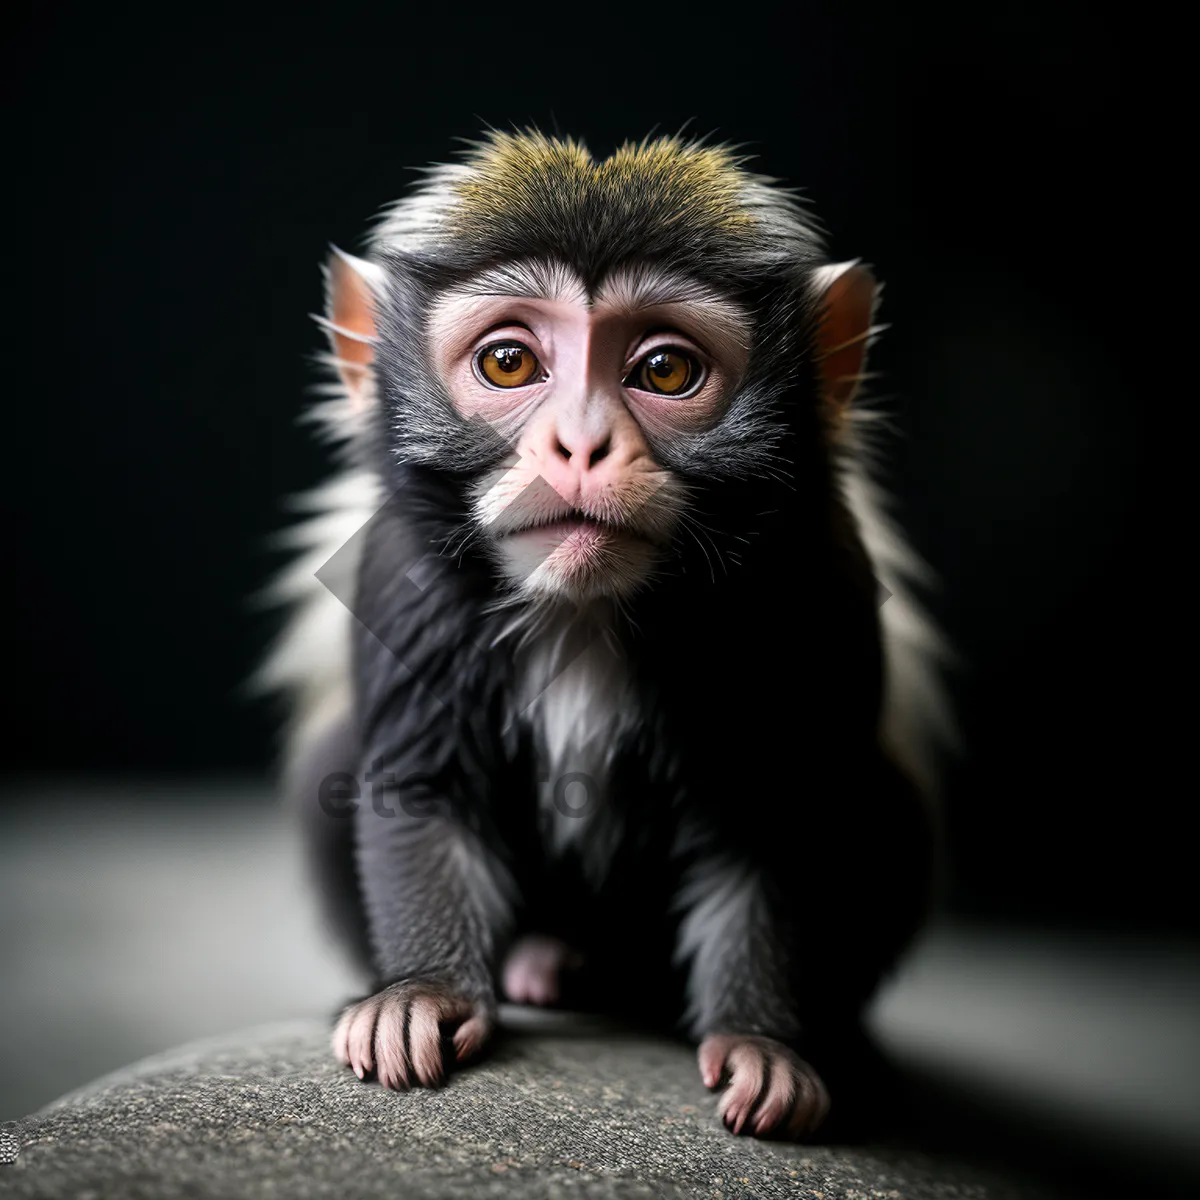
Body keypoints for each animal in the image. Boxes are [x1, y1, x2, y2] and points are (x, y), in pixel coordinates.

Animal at [265, 129, 945, 1132]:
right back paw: (541, 959)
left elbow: (775, 822)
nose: (580, 445)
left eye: (663, 371)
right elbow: (416, 788)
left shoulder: (822, 583)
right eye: (510, 363)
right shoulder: (400, 572)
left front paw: (766, 1043)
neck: (587, 612)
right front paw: (421, 993)